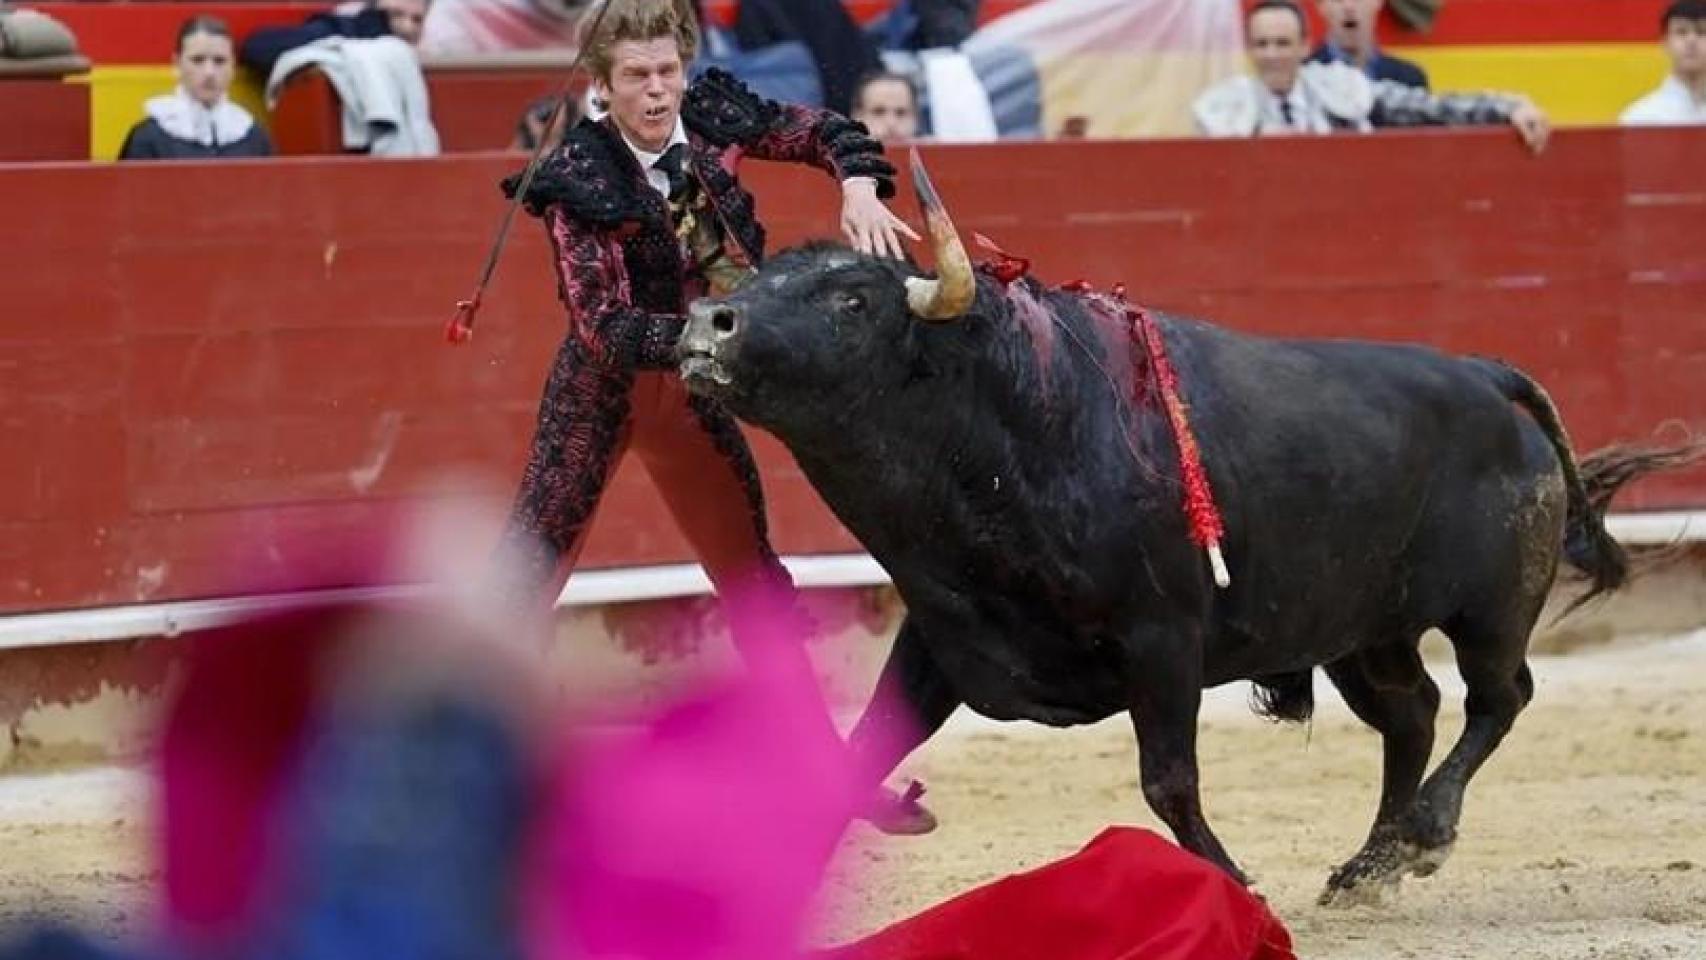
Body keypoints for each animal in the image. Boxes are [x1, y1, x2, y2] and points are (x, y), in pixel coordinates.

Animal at [672, 154, 1699, 907]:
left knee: (1499, 697)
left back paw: (1423, 835)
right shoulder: (942, 636)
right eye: (766, 278)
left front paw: (1231, 885)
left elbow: (1167, 780)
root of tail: (1483, 373)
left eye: (852, 300)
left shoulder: (1162, 640)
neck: (1014, 420)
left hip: (1489, 608)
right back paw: (1366, 867)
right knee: (1412, 712)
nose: (706, 322)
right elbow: (853, 761)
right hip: (1359, 630)